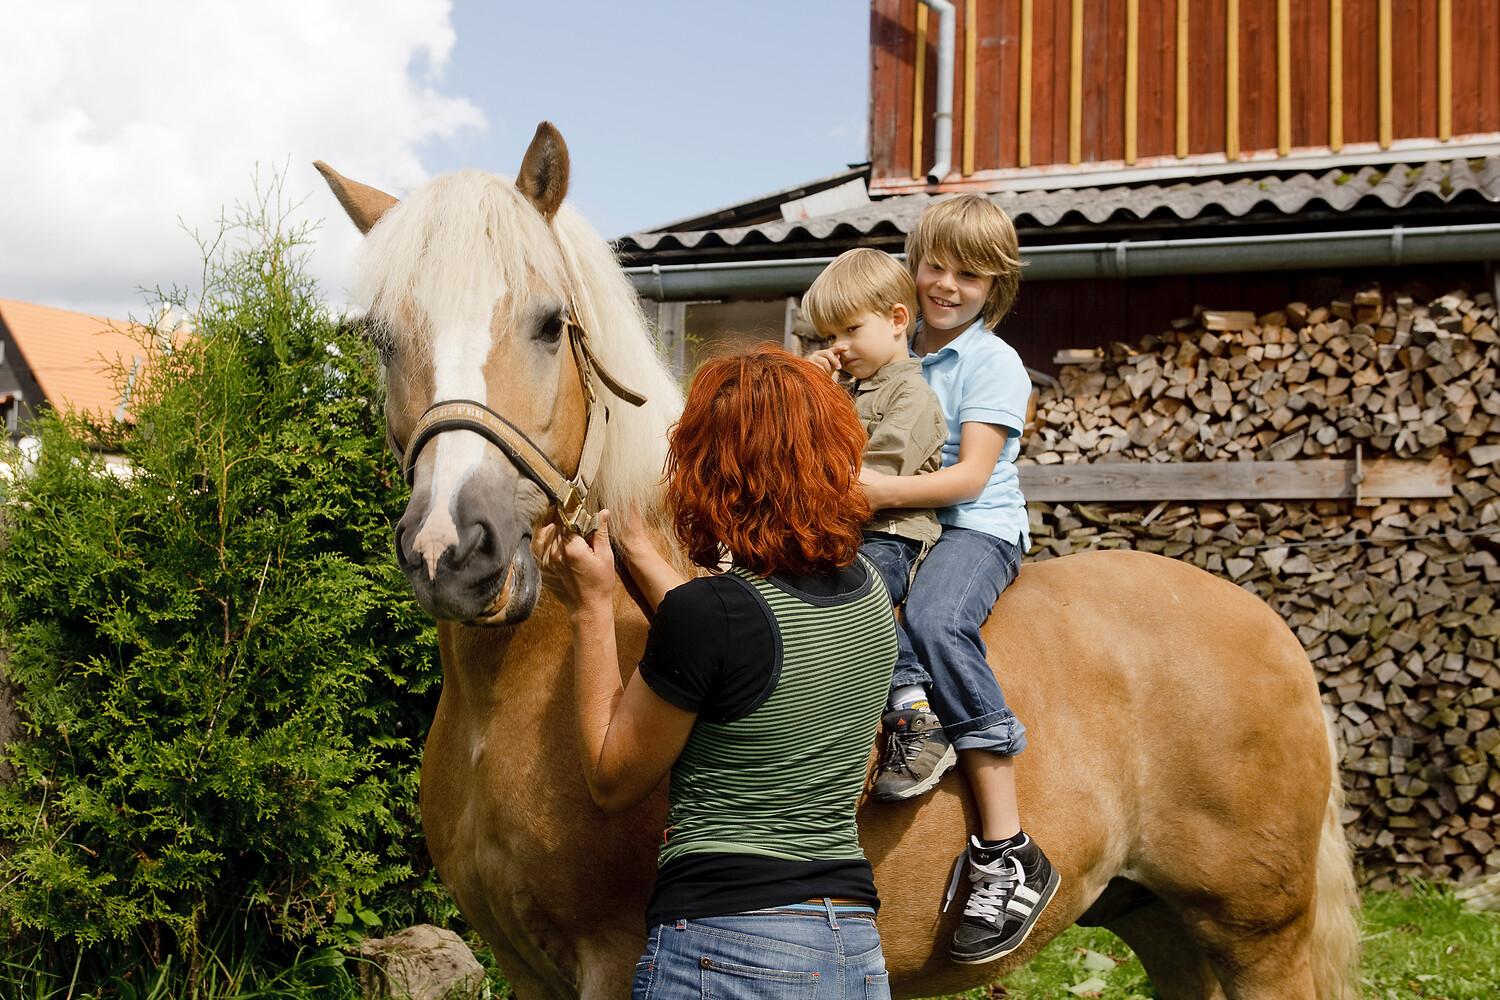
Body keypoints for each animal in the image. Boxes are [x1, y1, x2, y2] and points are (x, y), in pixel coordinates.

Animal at [315, 122, 1360, 1000]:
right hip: (1169, 931)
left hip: (1256, 939)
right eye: (380, 337)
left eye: (544, 322)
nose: (453, 550)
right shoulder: (526, 971)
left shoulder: (613, 963)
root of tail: (1272, 632)